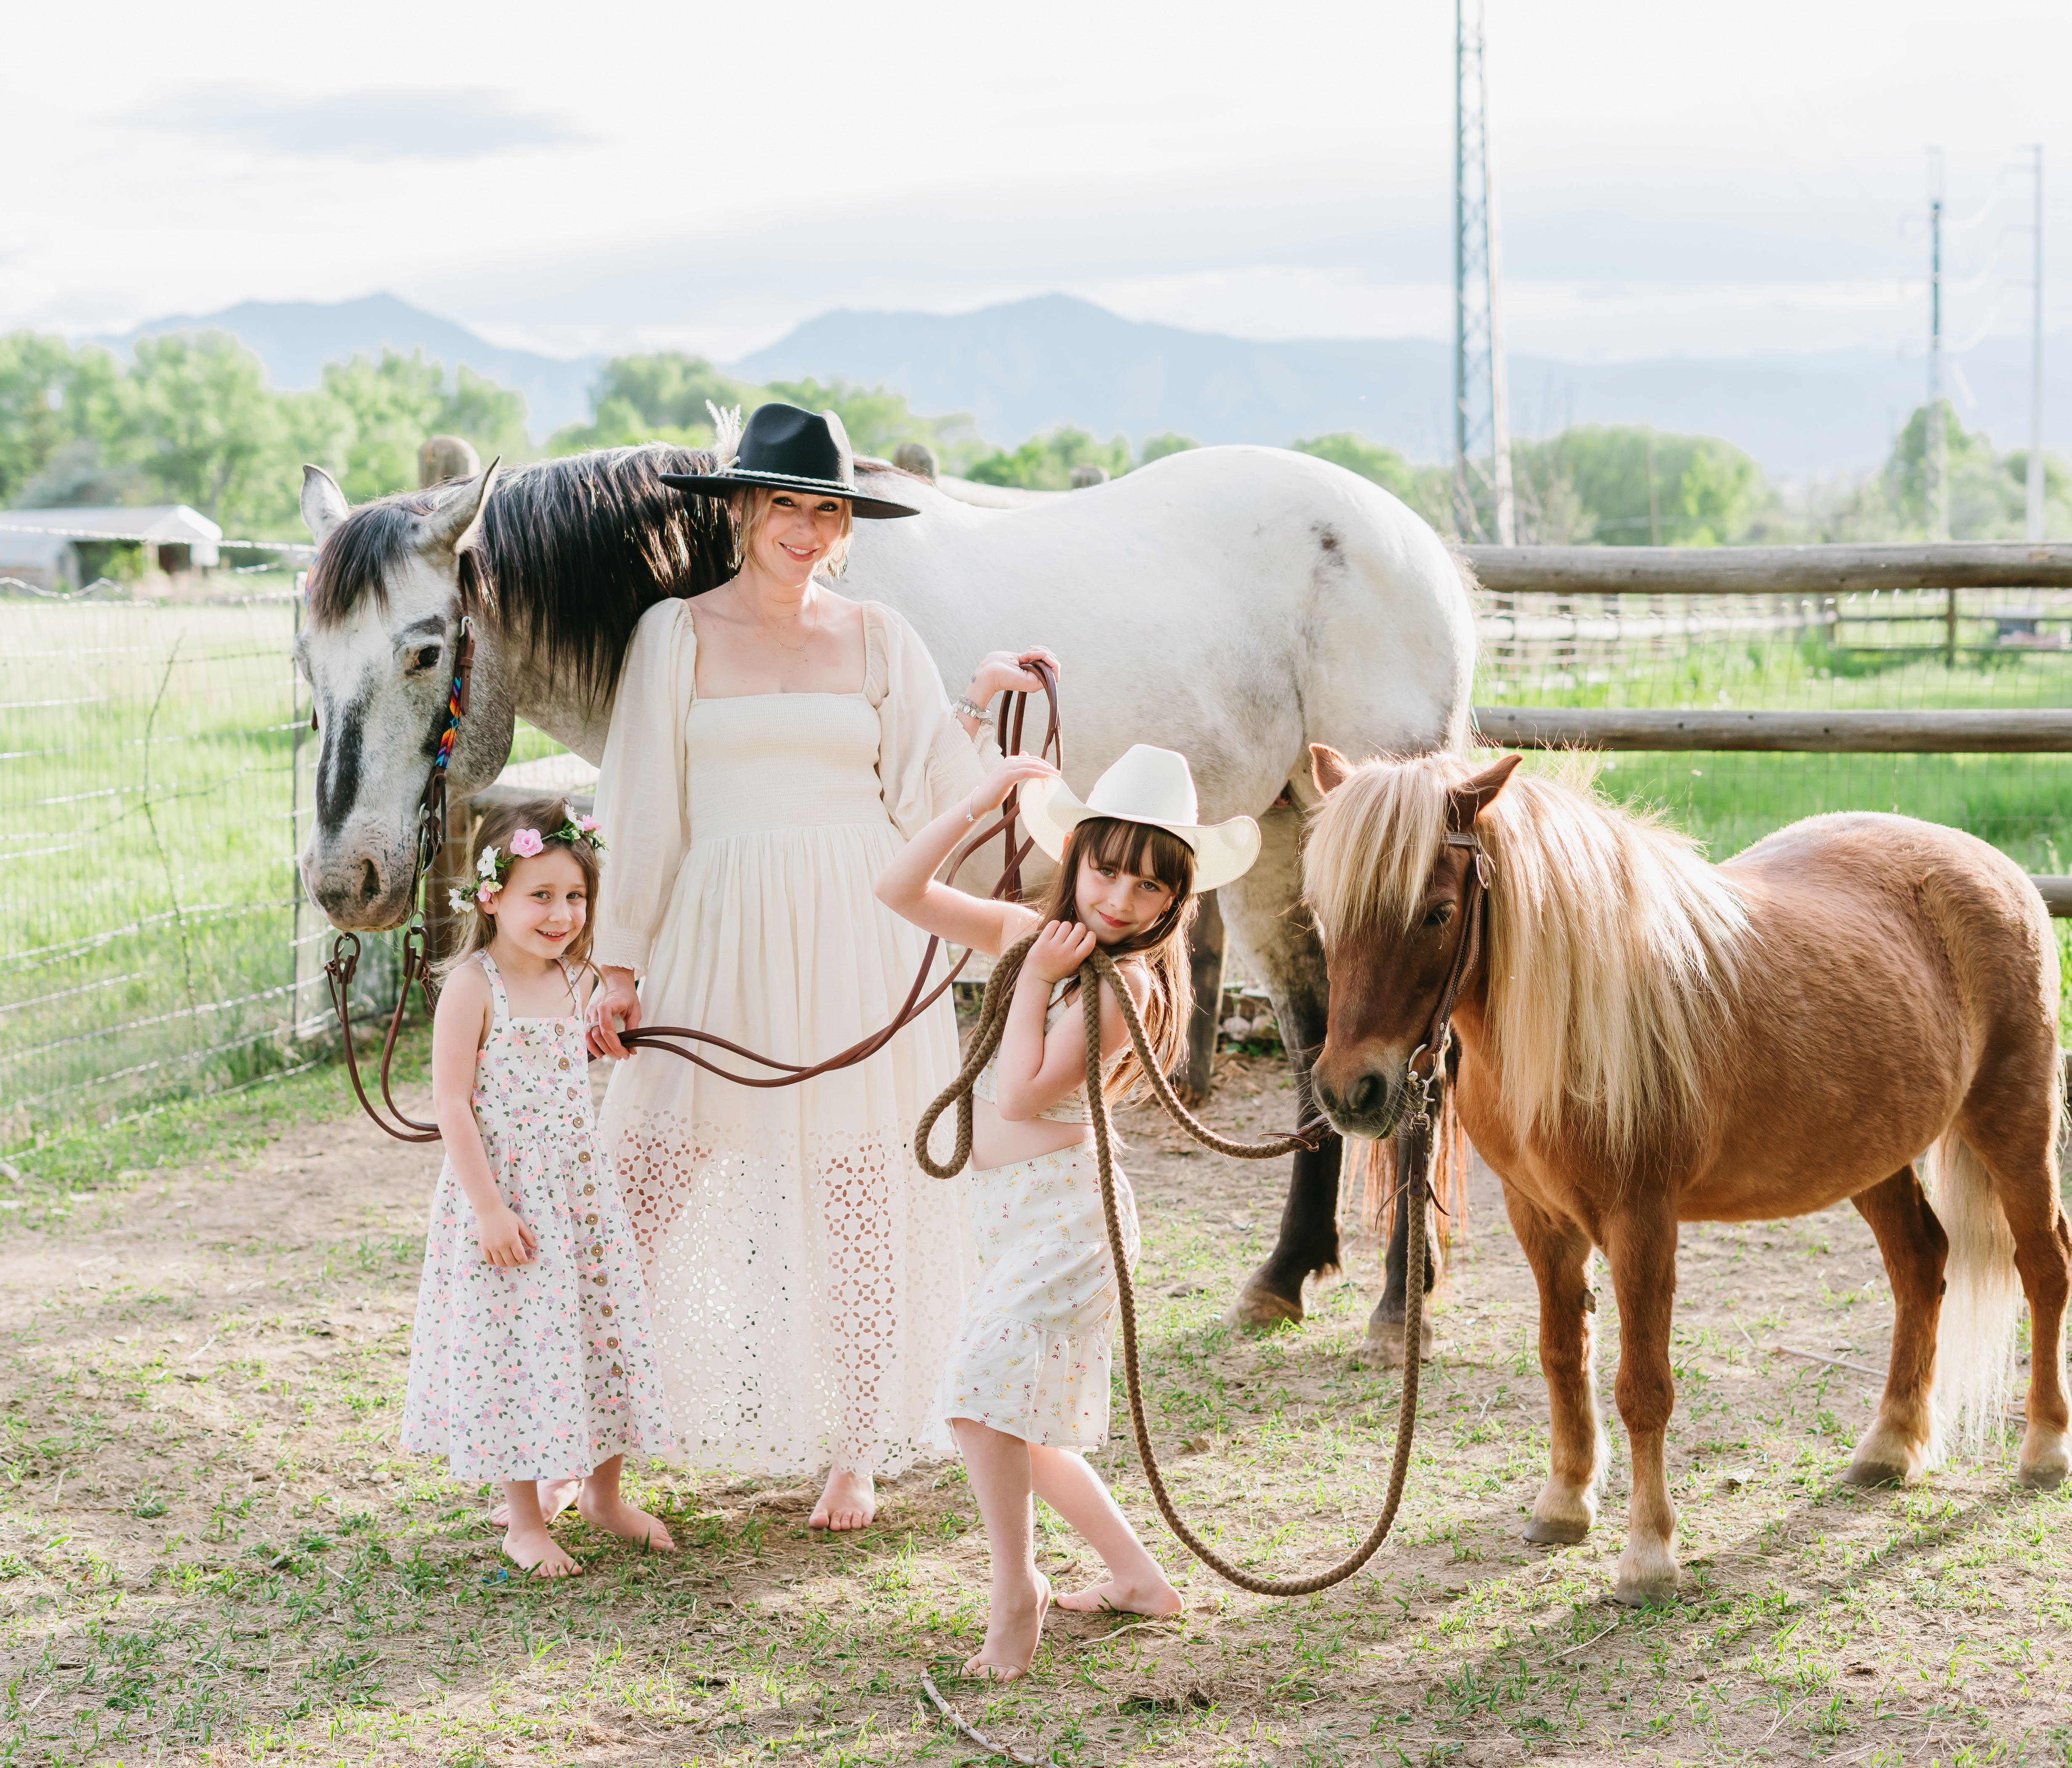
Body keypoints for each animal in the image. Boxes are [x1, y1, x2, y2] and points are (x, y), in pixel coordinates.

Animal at [292, 441, 1476, 1333]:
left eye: (424, 651)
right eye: (307, 662)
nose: (346, 881)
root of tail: (1413, 540)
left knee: (1423, 1048)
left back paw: (1399, 1306)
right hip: (1278, 832)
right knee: (1316, 1032)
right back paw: (1286, 1277)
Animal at [1300, 744, 2069, 1606]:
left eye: (1435, 912)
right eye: (1321, 914)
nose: (1349, 1092)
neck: (1576, 1025)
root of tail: (1992, 865)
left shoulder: (1641, 1223)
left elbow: (1643, 1388)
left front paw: (1648, 1556)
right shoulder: (1541, 1219)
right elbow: (1561, 1355)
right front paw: (1564, 1503)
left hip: (2012, 1120)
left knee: (2043, 1265)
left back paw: (2043, 1448)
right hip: (1872, 1153)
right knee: (1919, 1263)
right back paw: (1890, 1445)